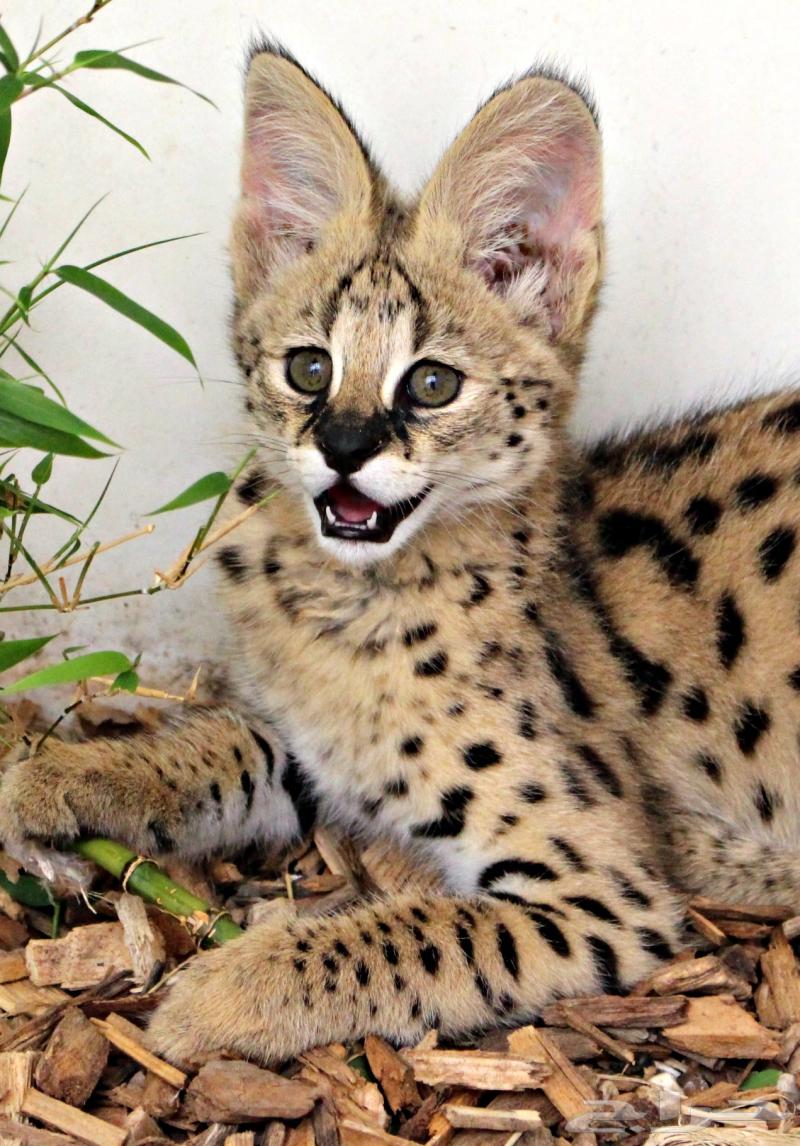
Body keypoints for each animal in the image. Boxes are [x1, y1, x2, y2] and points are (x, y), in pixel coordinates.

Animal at [2, 41, 800, 1069]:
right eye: (309, 368)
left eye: (431, 384)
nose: (343, 445)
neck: (349, 608)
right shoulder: (315, 750)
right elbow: (221, 744)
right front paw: (67, 775)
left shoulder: (604, 893)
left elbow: (406, 936)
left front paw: (218, 997)